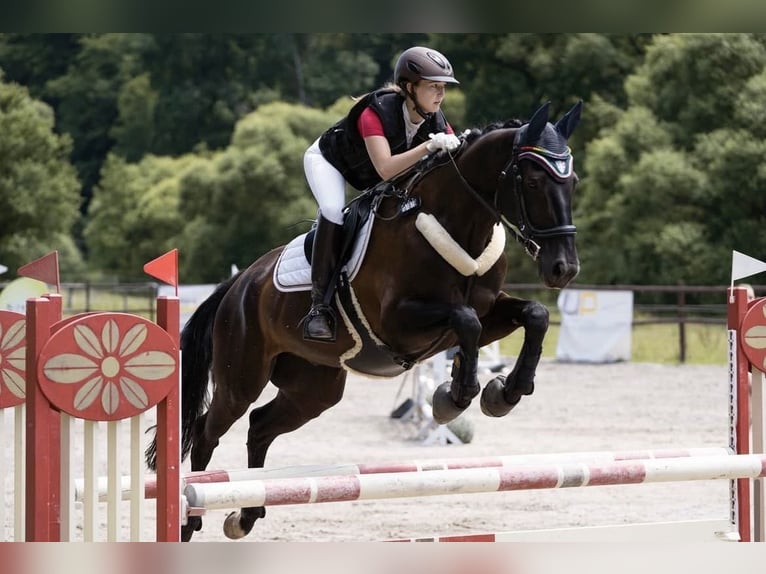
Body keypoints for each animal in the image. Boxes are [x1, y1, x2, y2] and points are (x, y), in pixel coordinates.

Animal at [148, 100, 583, 541]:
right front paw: (453, 398)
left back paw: (246, 515)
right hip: (241, 378)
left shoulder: (486, 310)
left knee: (259, 427)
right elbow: (466, 323)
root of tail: (238, 284)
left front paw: (504, 393)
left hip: (313, 387)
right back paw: (191, 519)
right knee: (207, 431)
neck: (456, 222)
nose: (563, 269)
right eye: (533, 181)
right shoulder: (399, 323)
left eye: (573, 181)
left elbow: (534, 315)